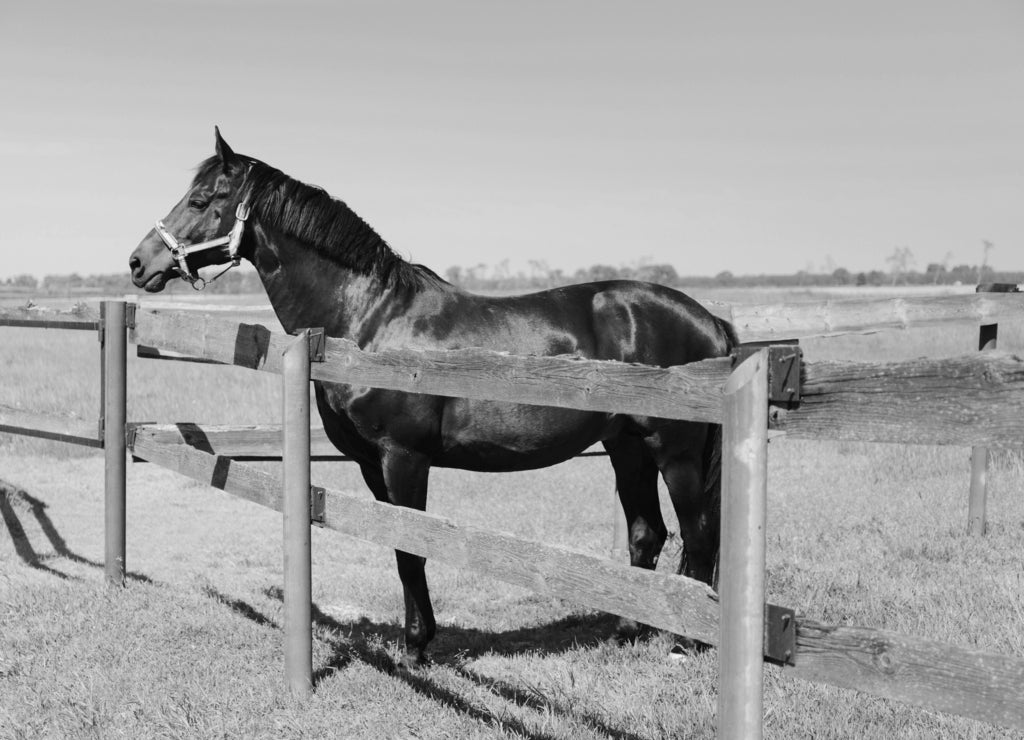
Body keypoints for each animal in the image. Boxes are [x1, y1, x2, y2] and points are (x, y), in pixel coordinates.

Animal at [130, 130, 737, 667]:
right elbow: (399, 549)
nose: (139, 263)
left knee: (699, 535)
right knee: (647, 533)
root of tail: (710, 322)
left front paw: (419, 646)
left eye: (202, 200)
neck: (369, 320)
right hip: (625, 446)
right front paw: (413, 643)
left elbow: (412, 547)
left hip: (675, 453)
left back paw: (687, 645)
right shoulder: (371, 464)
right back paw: (628, 631)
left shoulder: (405, 457)